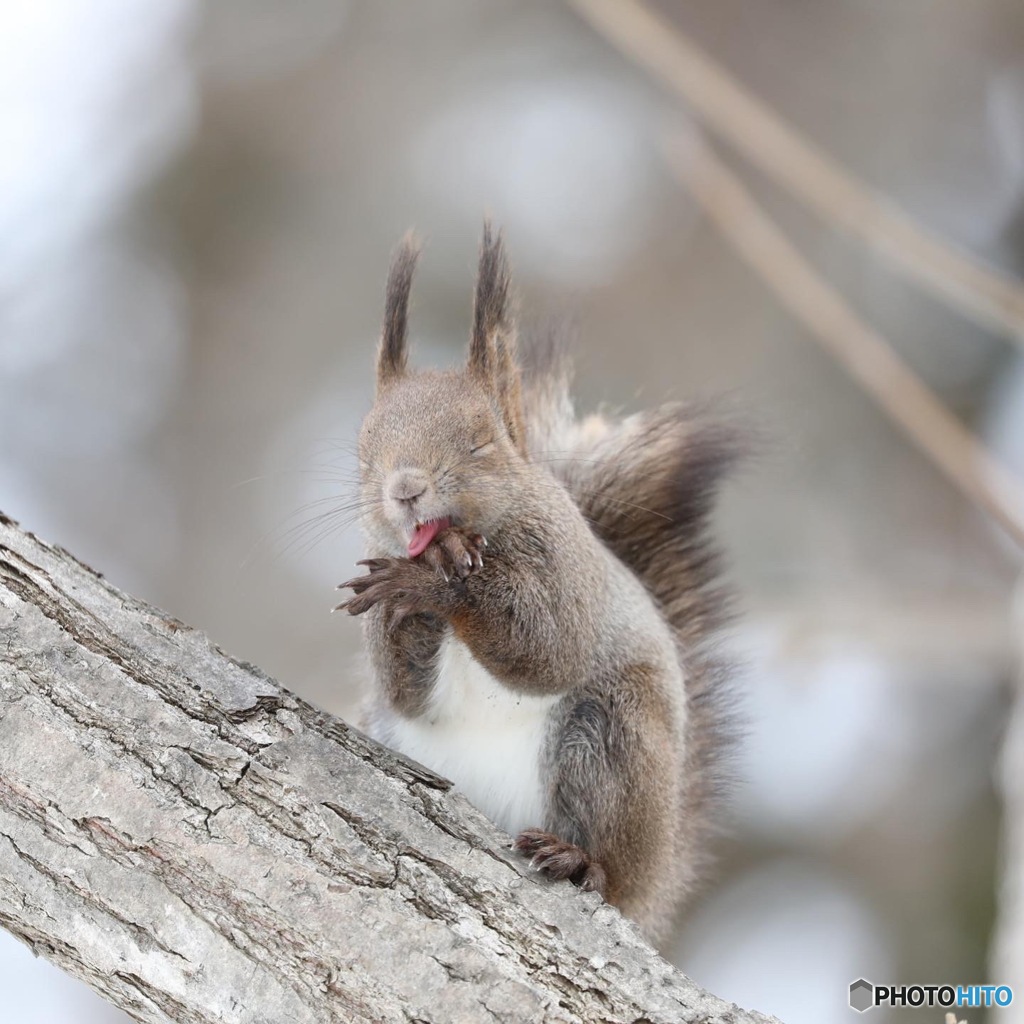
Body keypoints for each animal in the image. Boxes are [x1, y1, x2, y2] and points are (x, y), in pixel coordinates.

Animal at [339, 226, 741, 942]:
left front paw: (436, 587)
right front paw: (413, 590)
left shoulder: (565, 568)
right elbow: (405, 689)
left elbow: (548, 650)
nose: (405, 488)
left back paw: (581, 860)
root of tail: (656, 881)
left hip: (608, 738)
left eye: (481, 441)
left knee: (607, 864)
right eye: (363, 451)